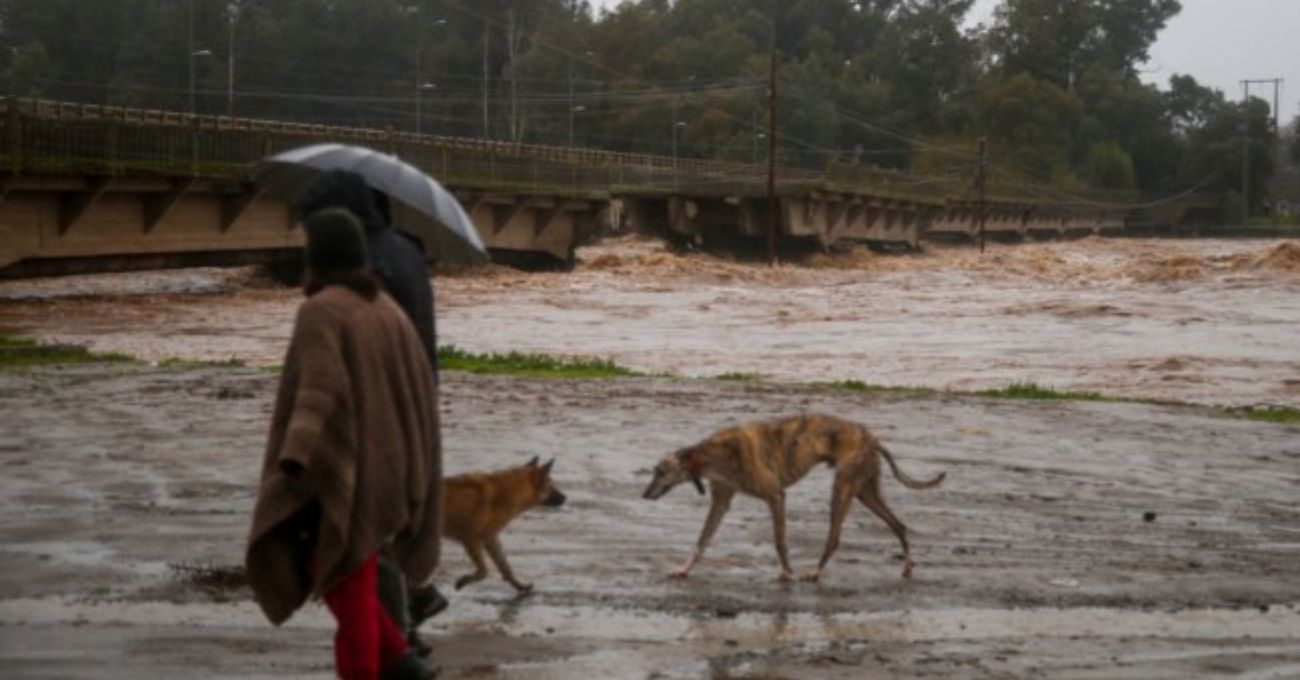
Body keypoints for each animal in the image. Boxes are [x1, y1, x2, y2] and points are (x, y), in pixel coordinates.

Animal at [441, 457, 564, 595]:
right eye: (551, 486)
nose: (565, 498)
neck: (507, 492)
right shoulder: (471, 540)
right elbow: (484, 571)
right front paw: (464, 580)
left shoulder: (490, 538)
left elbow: (505, 566)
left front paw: (519, 585)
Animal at [642, 416, 941, 585]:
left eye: (660, 471)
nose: (644, 495)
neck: (713, 454)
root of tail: (872, 437)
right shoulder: (721, 500)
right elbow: (702, 540)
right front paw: (683, 569)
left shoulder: (775, 496)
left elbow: (780, 541)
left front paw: (786, 572)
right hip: (864, 491)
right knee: (899, 525)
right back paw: (907, 566)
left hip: (842, 488)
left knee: (834, 538)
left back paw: (816, 573)